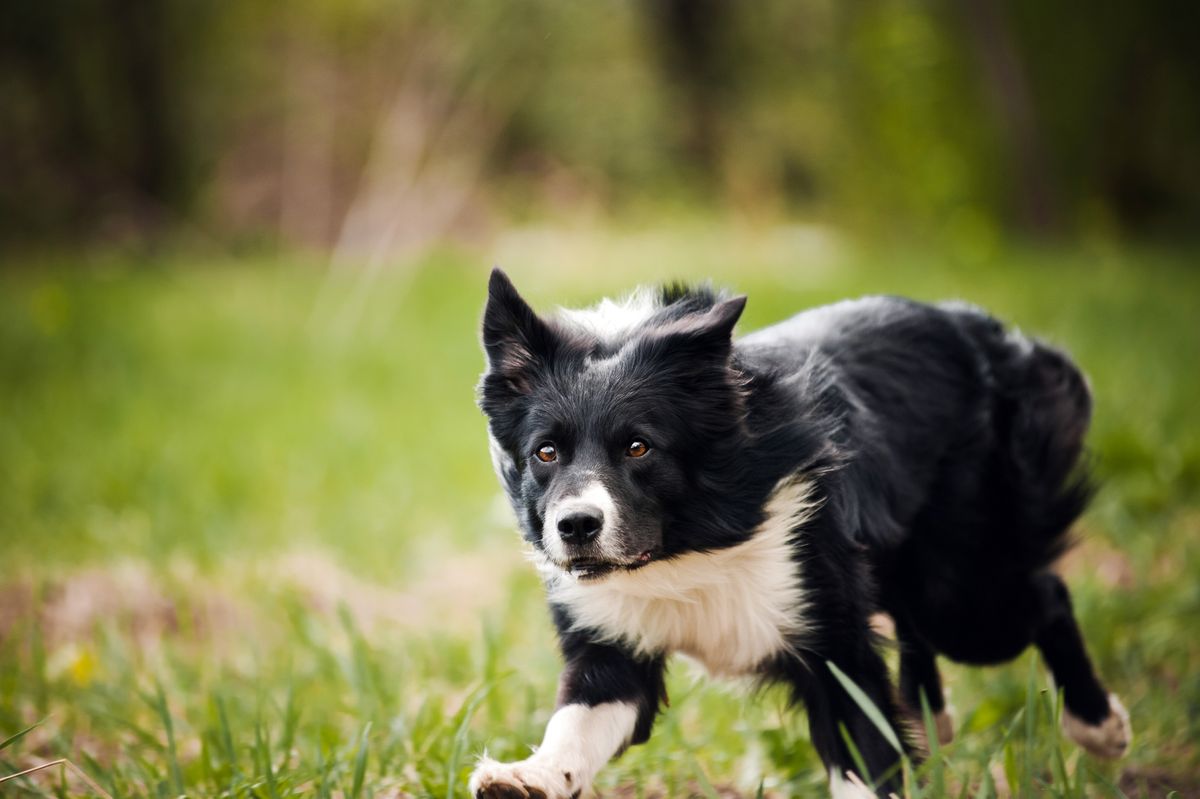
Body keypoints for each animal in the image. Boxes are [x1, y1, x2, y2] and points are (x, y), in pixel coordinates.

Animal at [470, 268, 1132, 796]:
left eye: (639, 447)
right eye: (546, 452)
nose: (575, 526)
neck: (682, 548)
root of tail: (972, 324)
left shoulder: (833, 643)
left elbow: (863, 748)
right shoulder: (612, 644)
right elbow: (578, 718)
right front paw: (525, 777)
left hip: (961, 592)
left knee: (1044, 595)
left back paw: (1098, 727)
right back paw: (929, 720)